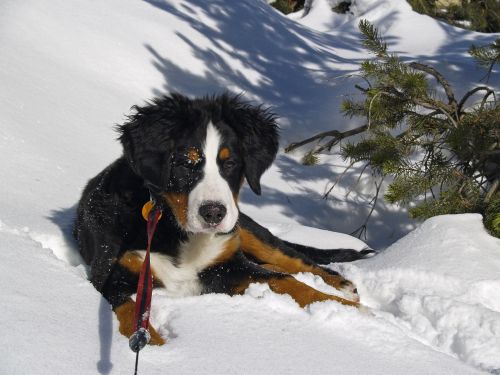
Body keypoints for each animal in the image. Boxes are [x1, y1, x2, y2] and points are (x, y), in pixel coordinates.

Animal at [73, 92, 372, 346]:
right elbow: (132, 313)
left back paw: (342, 286)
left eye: (230, 163)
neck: (172, 226)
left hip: (246, 231)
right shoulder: (111, 273)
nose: (214, 213)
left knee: (293, 259)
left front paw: (347, 309)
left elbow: (285, 279)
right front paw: (158, 349)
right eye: (185, 163)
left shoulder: (227, 264)